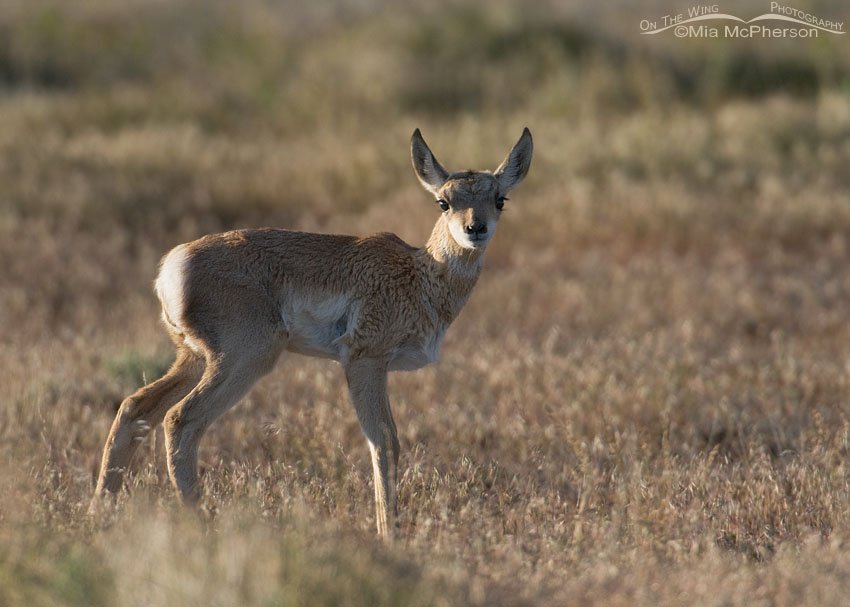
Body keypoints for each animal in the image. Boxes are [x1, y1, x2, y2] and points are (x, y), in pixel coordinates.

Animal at [90, 128, 533, 539]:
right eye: (444, 201)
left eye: (500, 199)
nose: (475, 229)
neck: (420, 274)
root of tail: (172, 264)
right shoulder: (364, 362)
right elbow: (385, 443)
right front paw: (390, 537)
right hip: (246, 359)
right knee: (180, 420)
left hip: (193, 359)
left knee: (135, 408)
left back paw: (99, 516)